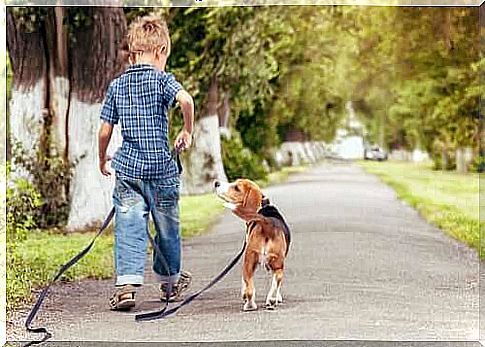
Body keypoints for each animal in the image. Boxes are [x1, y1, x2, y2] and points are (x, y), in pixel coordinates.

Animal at [214, 179, 290, 312]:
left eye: (236, 188)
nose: (216, 183)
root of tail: (267, 222)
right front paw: (277, 298)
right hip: (276, 264)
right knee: (277, 279)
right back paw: (270, 300)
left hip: (248, 261)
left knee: (249, 288)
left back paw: (250, 305)